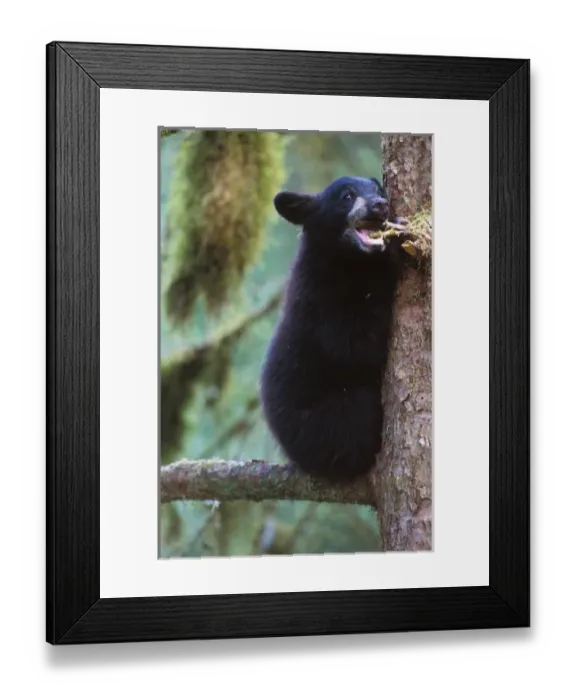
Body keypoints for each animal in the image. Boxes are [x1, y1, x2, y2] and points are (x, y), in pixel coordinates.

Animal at [259, 175, 409, 484]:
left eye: (378, 189)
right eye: (347, 196)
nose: (380, 205)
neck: (349, 263)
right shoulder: (319, 300)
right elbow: (355, 345)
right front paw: (395, 248)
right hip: (327, 428)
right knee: (361, 412)